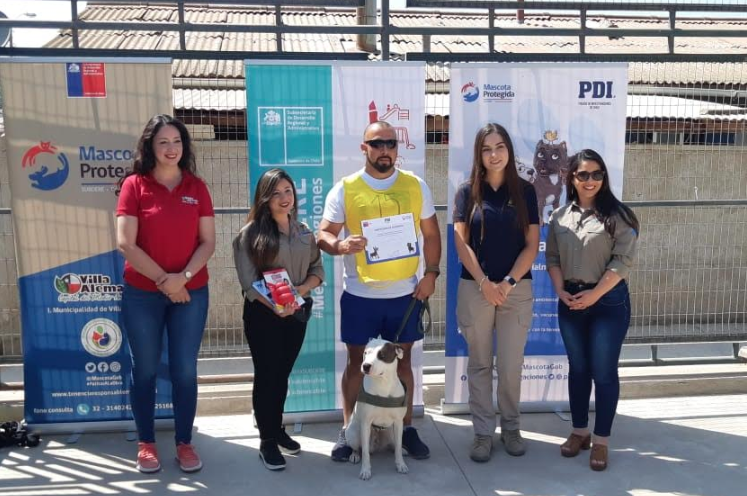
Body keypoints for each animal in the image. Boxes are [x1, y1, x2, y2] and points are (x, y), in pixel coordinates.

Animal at [344, 340, 410, 478]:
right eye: (365, 353)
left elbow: (398, 447)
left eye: (382, 355)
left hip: (392, 432)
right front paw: (365, 470)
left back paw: (402, 450)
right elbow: (365, 453)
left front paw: (401, 464)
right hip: (352, 433)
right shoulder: (365, 423)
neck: (383, 383)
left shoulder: (398, 422)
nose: (365, 366)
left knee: (395, 445)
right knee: (357, 448)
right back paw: (354, 455)